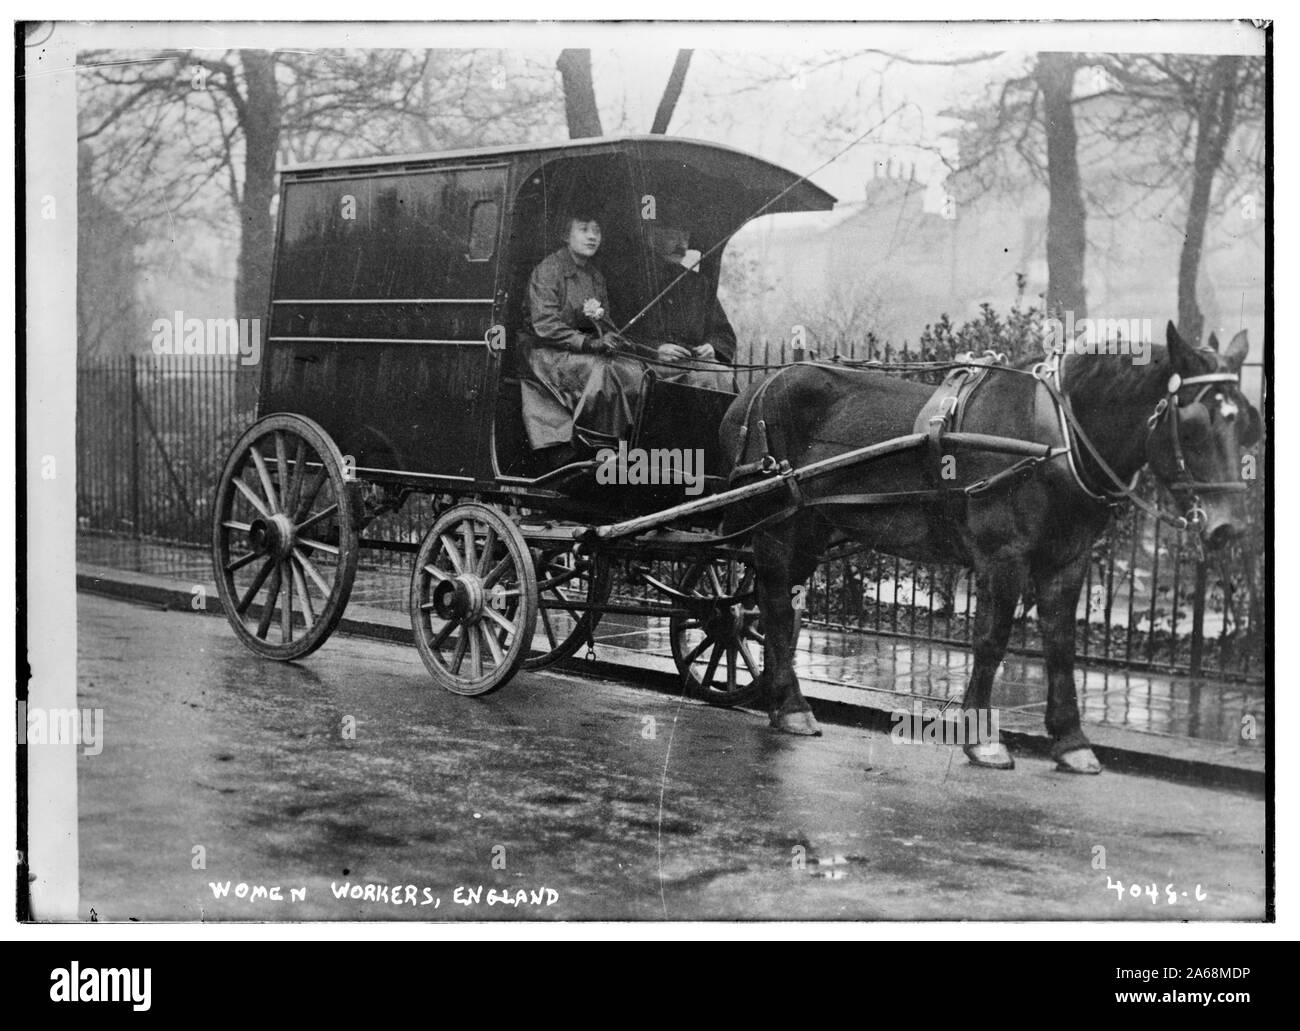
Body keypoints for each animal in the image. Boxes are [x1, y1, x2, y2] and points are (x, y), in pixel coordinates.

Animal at [722, 323, 1258, 769]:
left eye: (1248, 423)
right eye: (1193, 423)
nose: (1229, 527)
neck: (1055, 439)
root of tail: (755, 390)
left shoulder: (1068, 560)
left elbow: (1061, 644)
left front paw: (1071, 741)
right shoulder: (1004, 557)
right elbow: (992, 639)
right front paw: (982, 738)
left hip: (807, 528)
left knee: (776, 605)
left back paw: (777, 699)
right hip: (776, 527)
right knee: (774, 603)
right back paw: (791, 706)